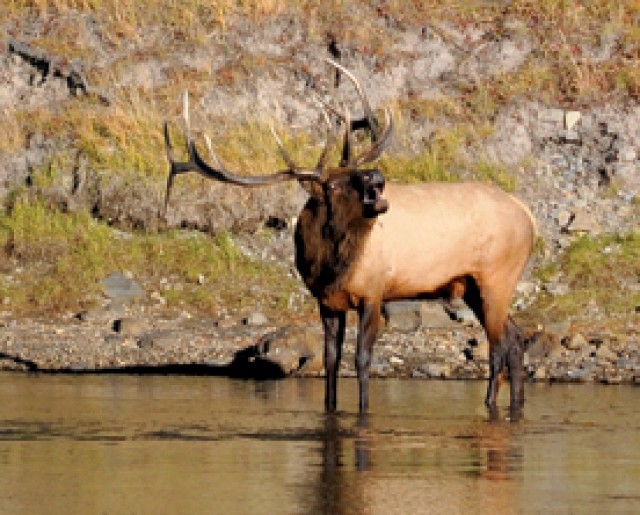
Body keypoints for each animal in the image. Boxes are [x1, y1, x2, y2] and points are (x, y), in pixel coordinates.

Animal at [163, 59, 537, 419]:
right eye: (332, 184)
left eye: (355, 172)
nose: (376, 178)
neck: (330, 266)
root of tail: (528, 215)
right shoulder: (326, 300)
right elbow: (331, 360)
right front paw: (331, 409)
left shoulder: (374, 291)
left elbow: (361, 358)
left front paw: (363, 410)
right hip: (473, 285)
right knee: (515, 338)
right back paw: (516, 404)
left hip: (496, 276)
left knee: (498, 345)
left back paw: (490, 405)